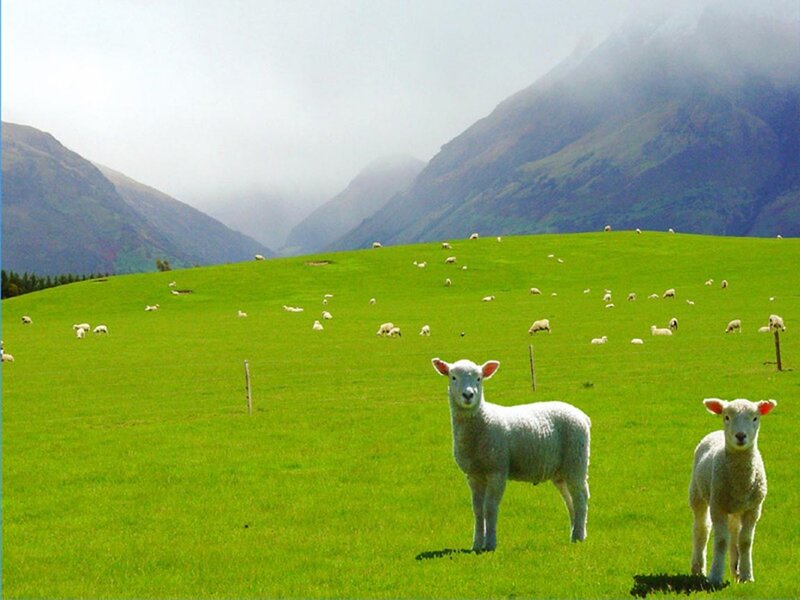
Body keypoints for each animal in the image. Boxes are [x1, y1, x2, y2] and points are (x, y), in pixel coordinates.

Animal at [431, 358, 591, 550]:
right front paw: (477, 544)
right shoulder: (473, 475)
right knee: (569, 499)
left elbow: (490, 508)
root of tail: (582, 416)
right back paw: (576, 532)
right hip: (561, 470)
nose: (468, 395)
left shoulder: (497, 470)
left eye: (479, 378)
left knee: (580, 497)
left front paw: (490, 544)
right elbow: (477, 510)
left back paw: (578, 536)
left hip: (576, 459)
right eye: (453, 377)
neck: (482, 421)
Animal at [690, 398, 777, 586]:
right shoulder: (718, 506)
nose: (740, 436)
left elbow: (745, 541)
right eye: (727, 417)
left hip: (736, 507)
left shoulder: (753, 509)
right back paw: (698, 568)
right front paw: (715, 576)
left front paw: (746, 575)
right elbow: (721, 540)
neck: (741, 481)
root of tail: (715, 433)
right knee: (702, 529)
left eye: (755, 418)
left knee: (734, 532)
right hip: (697, 494)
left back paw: (735, 570)